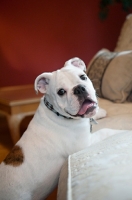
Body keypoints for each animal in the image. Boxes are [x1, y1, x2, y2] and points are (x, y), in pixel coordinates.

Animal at [0, 57, 114, 200]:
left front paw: (100, 112)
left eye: (83, 77)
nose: (79, 89)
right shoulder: (84, 144)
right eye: (61, 92)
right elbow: (106, 131)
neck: (56, 112)